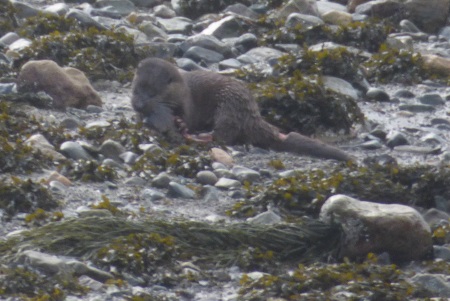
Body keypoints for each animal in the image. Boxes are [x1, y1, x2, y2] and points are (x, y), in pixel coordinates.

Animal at [130, 56, 352, 161]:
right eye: (136, 90)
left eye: (153, 93)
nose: (138, 105)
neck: (182, 91)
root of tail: (254, 116)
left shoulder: (188, 105)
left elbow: (189, 119)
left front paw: (181, 124)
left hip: (230, 105)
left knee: (225, 134)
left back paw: (200, 136)